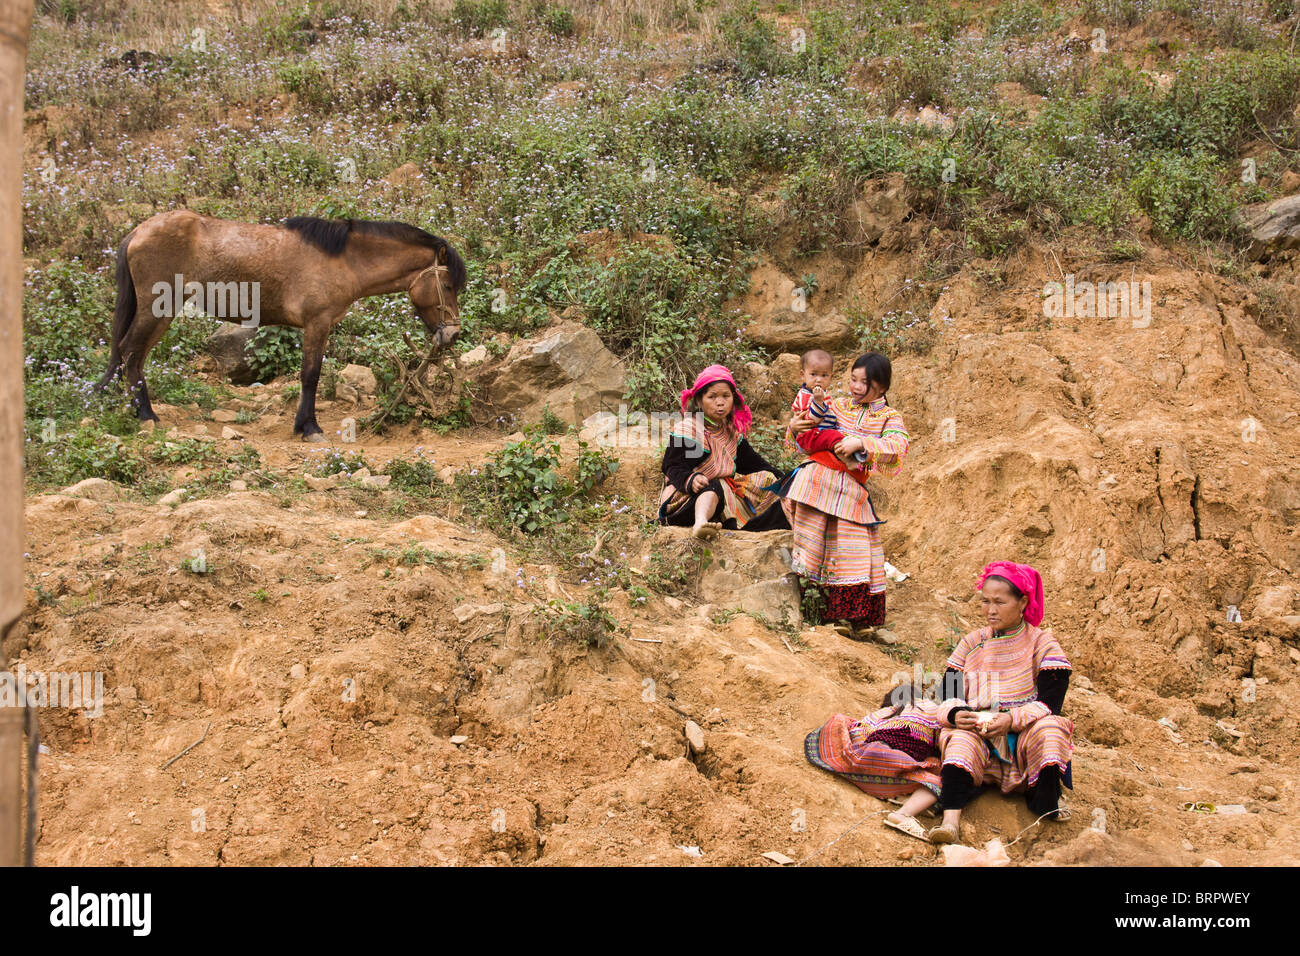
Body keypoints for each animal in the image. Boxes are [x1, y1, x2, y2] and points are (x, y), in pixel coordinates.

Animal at [97, 210, 473, 439]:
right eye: (448, 285)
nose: (453, 333)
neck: (344, 260)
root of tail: (138, 231)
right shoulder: (317, 323)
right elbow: (310, 375)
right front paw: (308, 426)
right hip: (156, 309)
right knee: (130, 352)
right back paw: (146, 415)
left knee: (133, 356)